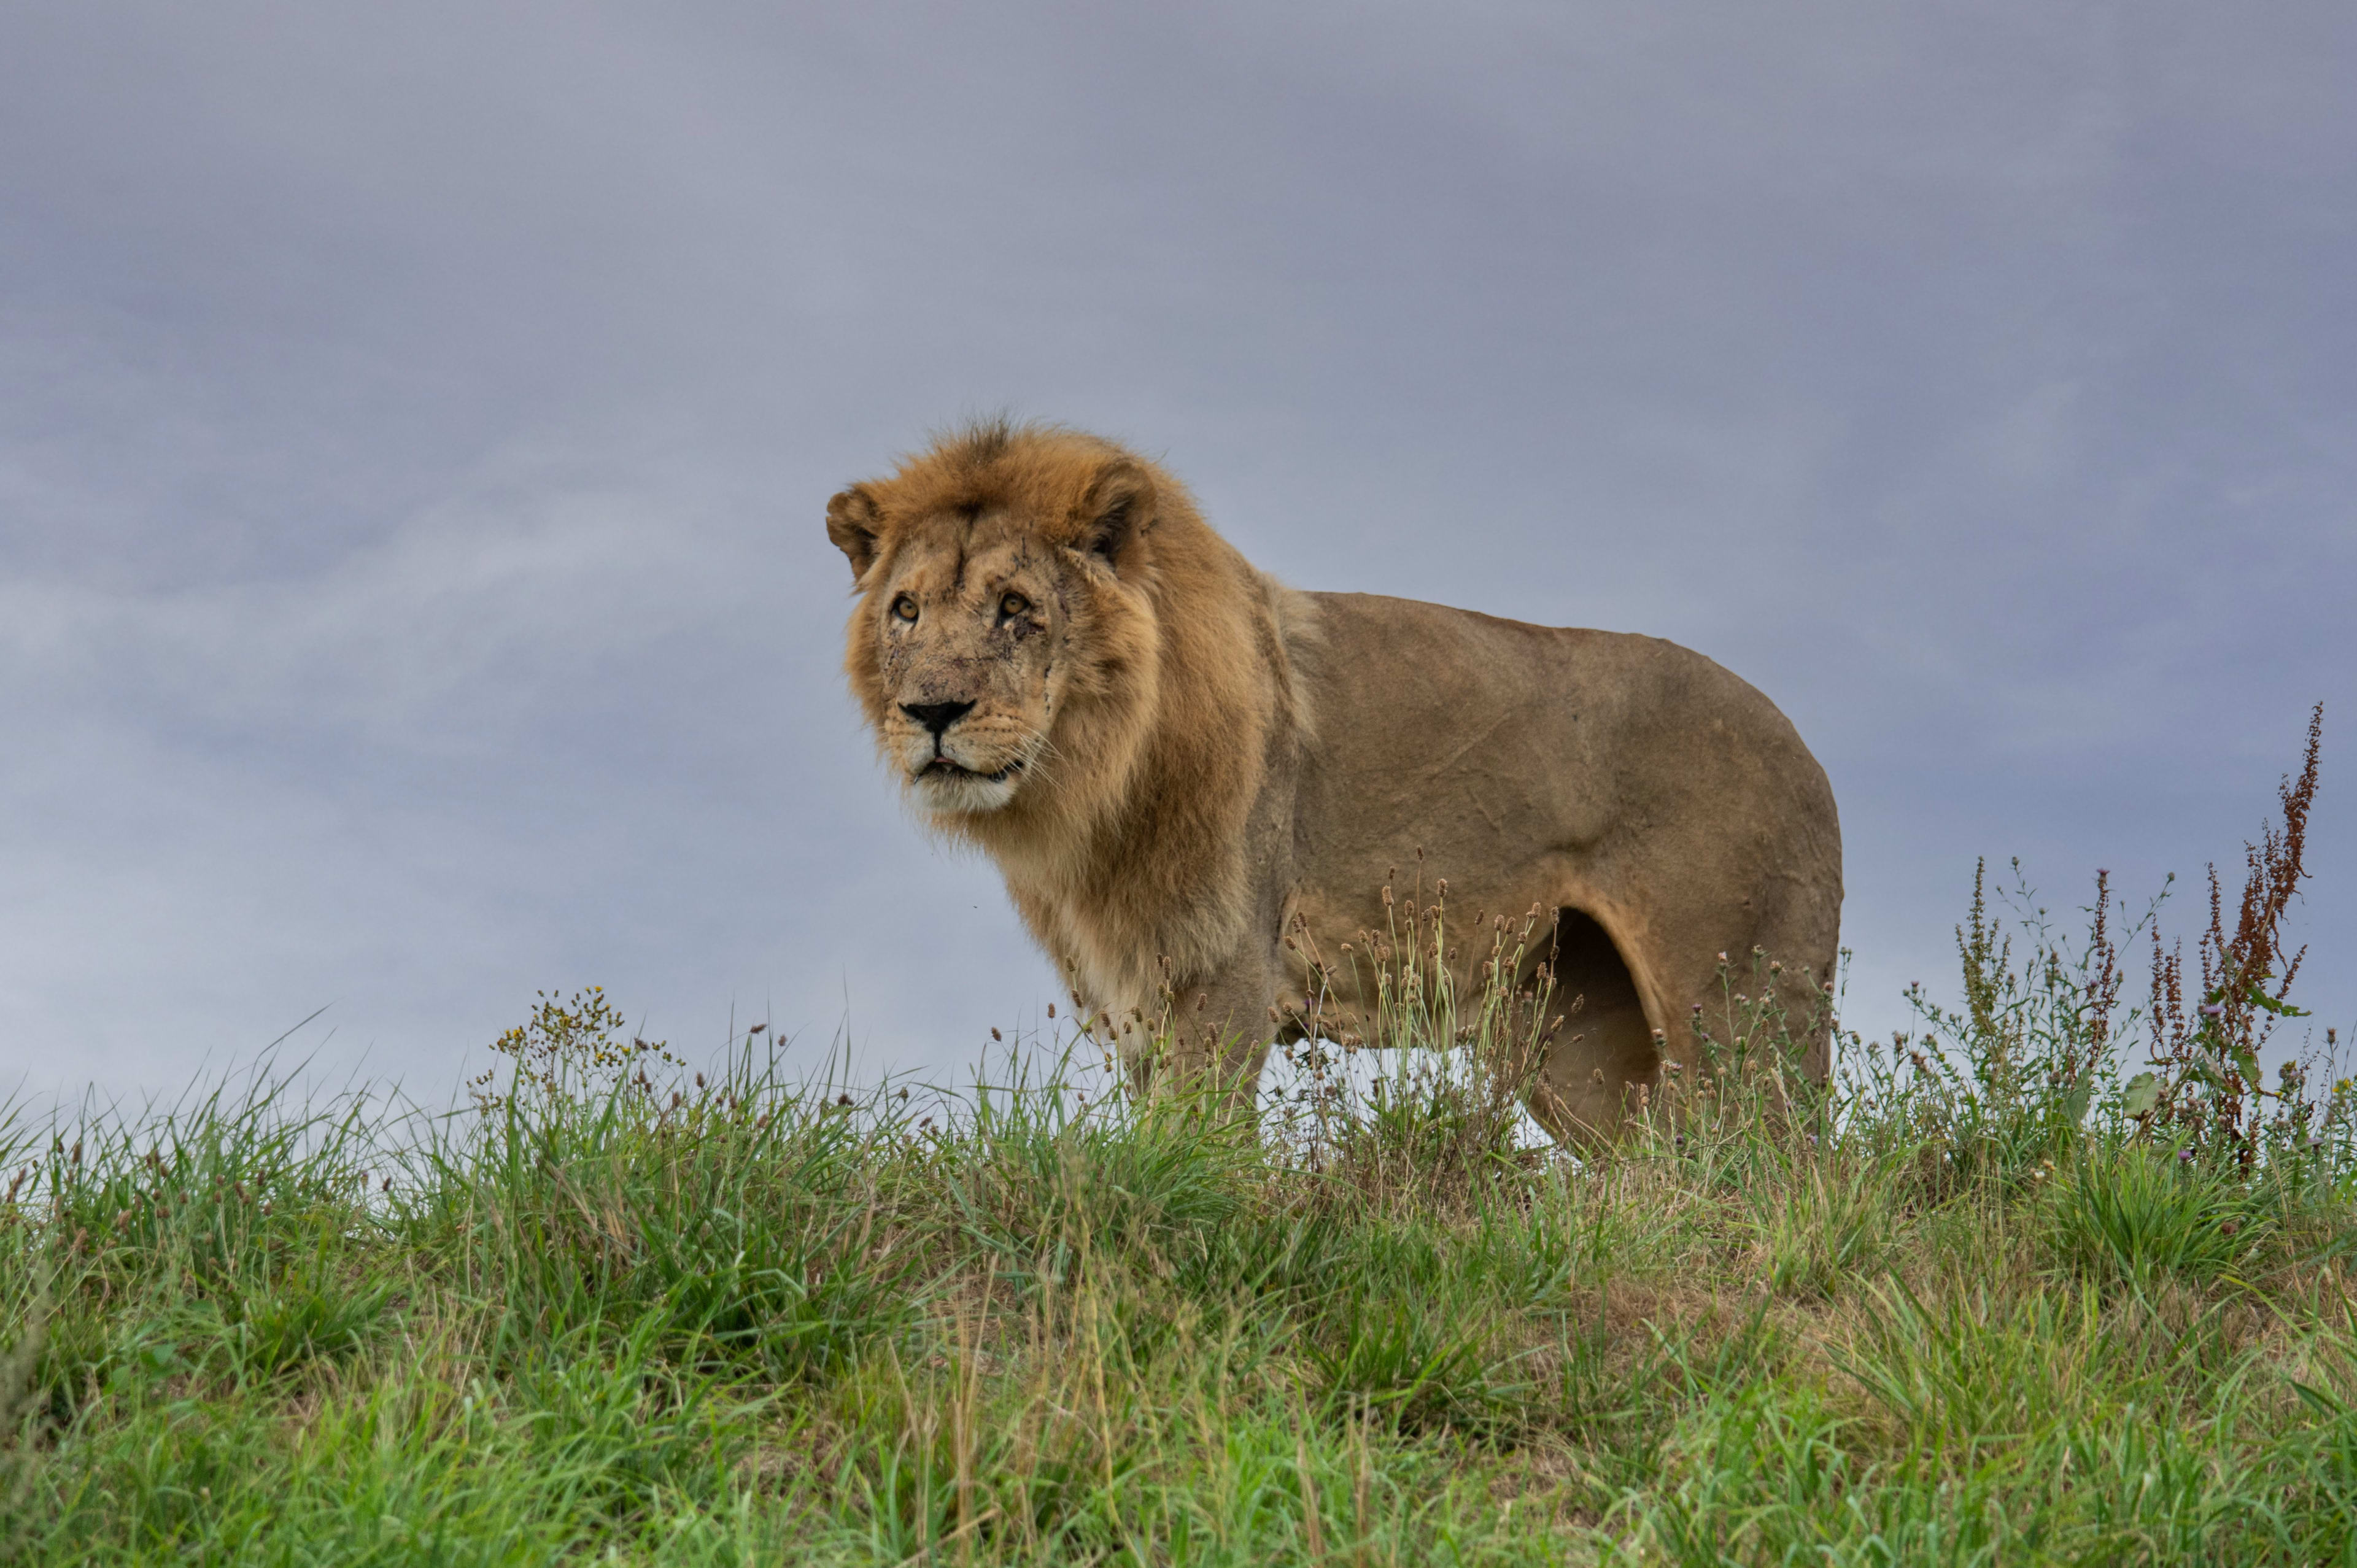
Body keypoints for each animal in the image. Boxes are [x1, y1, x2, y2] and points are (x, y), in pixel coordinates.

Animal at [829, 422, 1838, 1132]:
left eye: (1015, 607)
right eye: (907, 610)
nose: (931, 712)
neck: (1089, 790)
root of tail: (1805, 746)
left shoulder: (1227, 965)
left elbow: (1198, 1145)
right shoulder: (1135, 989)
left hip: (1741, 1015)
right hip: (1577, 1045)